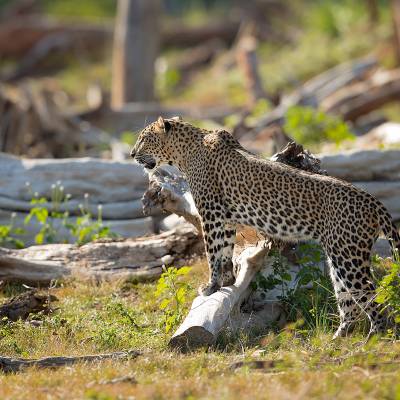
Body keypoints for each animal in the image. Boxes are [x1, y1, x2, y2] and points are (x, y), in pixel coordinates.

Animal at [131, 116, 400, 338]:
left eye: (143, 138)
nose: (132, 154)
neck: (185, 152)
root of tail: (374, 201)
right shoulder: (224, 218)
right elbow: (225, 250)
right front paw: (227, 281)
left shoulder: (211, 213)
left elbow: (212, 252)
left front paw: (210, 287)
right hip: (339, 257)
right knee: (349, 301)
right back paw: (339, 338)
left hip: (348, 255)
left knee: (372, 298)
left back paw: (372, 339)